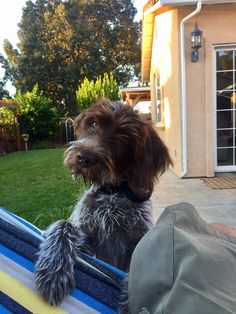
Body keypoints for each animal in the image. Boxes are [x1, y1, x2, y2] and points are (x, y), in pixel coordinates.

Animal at [34, 99, 172, 306]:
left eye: (124, 138)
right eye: (94, 123)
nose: (84, 157)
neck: (112, 195)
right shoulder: (87, 240)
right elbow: (63, 225)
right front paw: (53, 272)